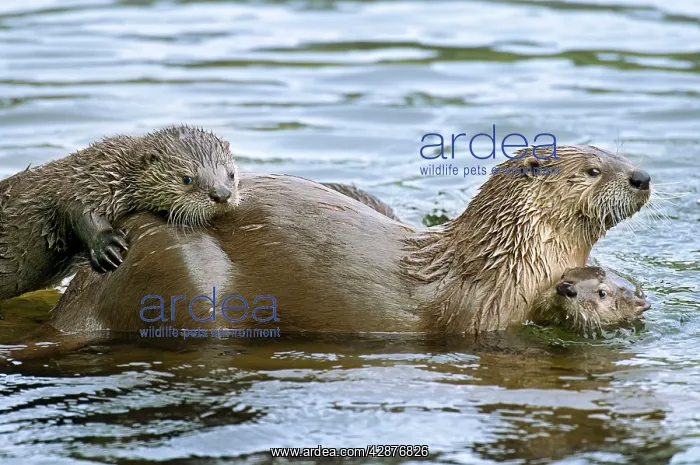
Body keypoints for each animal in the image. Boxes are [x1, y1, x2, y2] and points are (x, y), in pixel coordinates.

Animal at [0, 125, 240, 301]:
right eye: (187, 179)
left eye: (231, 174)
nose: (221, 194)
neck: (114, 170)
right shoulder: (79, 185)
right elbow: (76, 210)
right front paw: (106, 246)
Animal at [32, 144, 651, 340]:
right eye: (595, 169)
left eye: (621, 156)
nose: (642, 176)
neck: (507, 261)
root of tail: (83, 293)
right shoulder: (480, 317)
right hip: (179, 271)